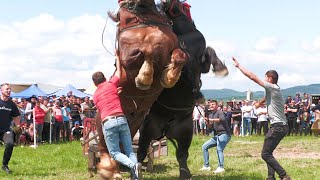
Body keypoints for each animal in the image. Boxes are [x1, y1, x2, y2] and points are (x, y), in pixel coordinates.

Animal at [96, 0, 189, 179]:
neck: (143, 18)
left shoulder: (174, 48)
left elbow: (180, 56)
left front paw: (168, 77)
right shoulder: (127, 57)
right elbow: (147, 50)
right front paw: (144, 78)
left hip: (133, 125)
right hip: (101, 125)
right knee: (105, 148)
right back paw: (109, 170)